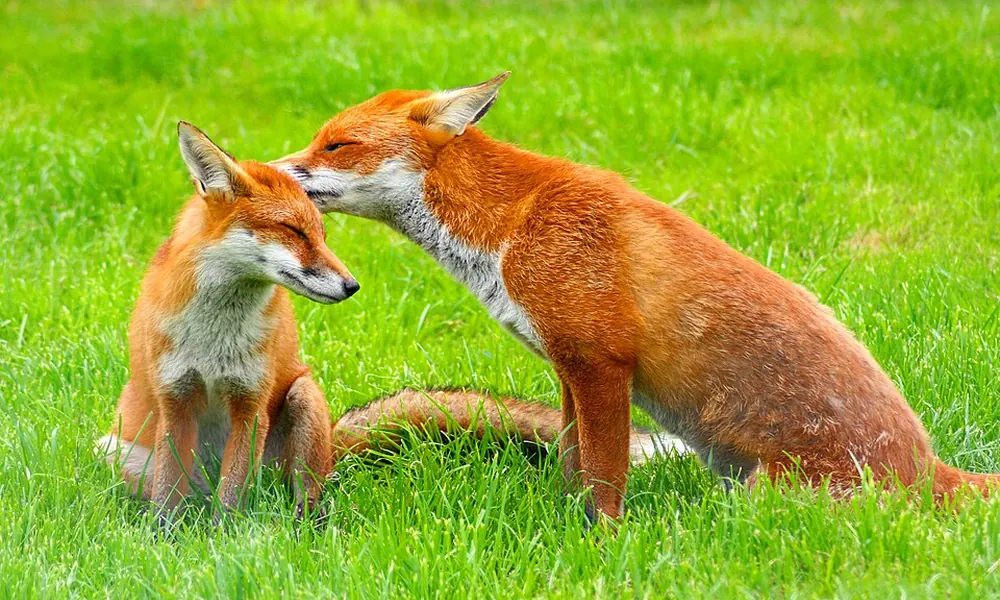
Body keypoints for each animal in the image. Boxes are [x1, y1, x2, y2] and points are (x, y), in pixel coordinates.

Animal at [98, 121, 360, 522]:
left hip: (304, 399)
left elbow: (232, 497)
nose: (352, 286)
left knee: (304, 495)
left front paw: (225, 535)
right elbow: (166, 496)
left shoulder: (250, 405)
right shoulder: (175, 400)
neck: (213, 338)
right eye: (294, 231)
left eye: (322, 236)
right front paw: (162, 535)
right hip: (111, 450)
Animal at [273, 72, 1000, 520]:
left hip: (762, 495)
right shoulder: (568, 368)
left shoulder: (602, 364)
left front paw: (603, 543)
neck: (508, 228)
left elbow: (606, 478)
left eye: (336, 144)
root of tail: (932, 471)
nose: (265, 172)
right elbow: (572, 465)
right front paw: (564, 525)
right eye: (317, 139)